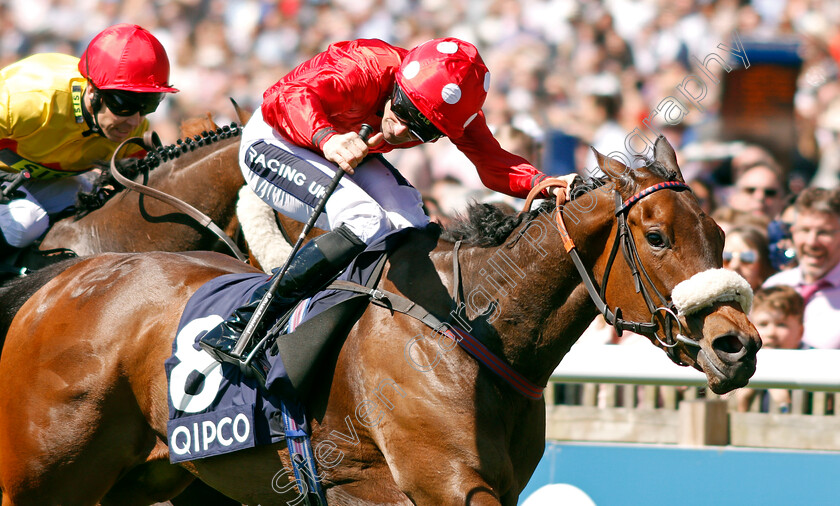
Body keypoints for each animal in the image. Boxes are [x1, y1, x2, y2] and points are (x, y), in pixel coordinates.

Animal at [0, 136, 760, 504]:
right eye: (656, 237)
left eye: (720, 234)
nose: (738, 345)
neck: (469, 330)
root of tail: (54, 282)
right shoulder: (445, 484)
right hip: (42, 473)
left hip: (138, 481)